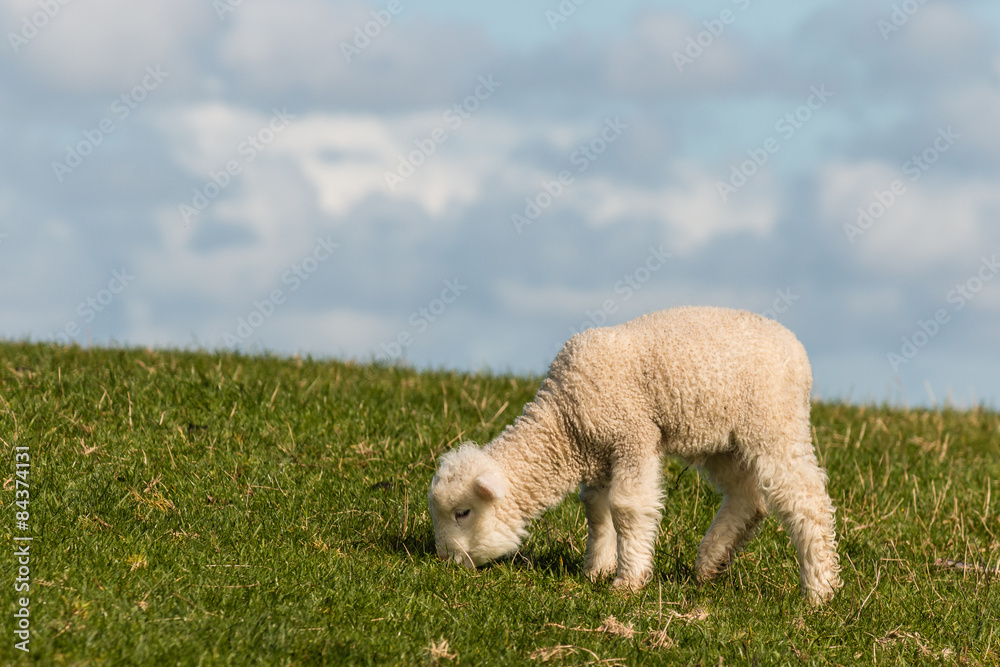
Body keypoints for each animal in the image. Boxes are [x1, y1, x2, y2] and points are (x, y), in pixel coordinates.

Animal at [428, 306, 842, 605]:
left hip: (775, 423)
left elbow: (627, 506)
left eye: (463, 513)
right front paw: (596, 570)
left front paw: (628, 580)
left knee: (806, 499)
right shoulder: (600, 453)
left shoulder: (633, 435)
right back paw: (711, 562)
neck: (565, 422)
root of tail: (796, 348)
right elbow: (596, 510)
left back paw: (819, 591)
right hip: (724, 440)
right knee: (747, 498)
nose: (445, 562)